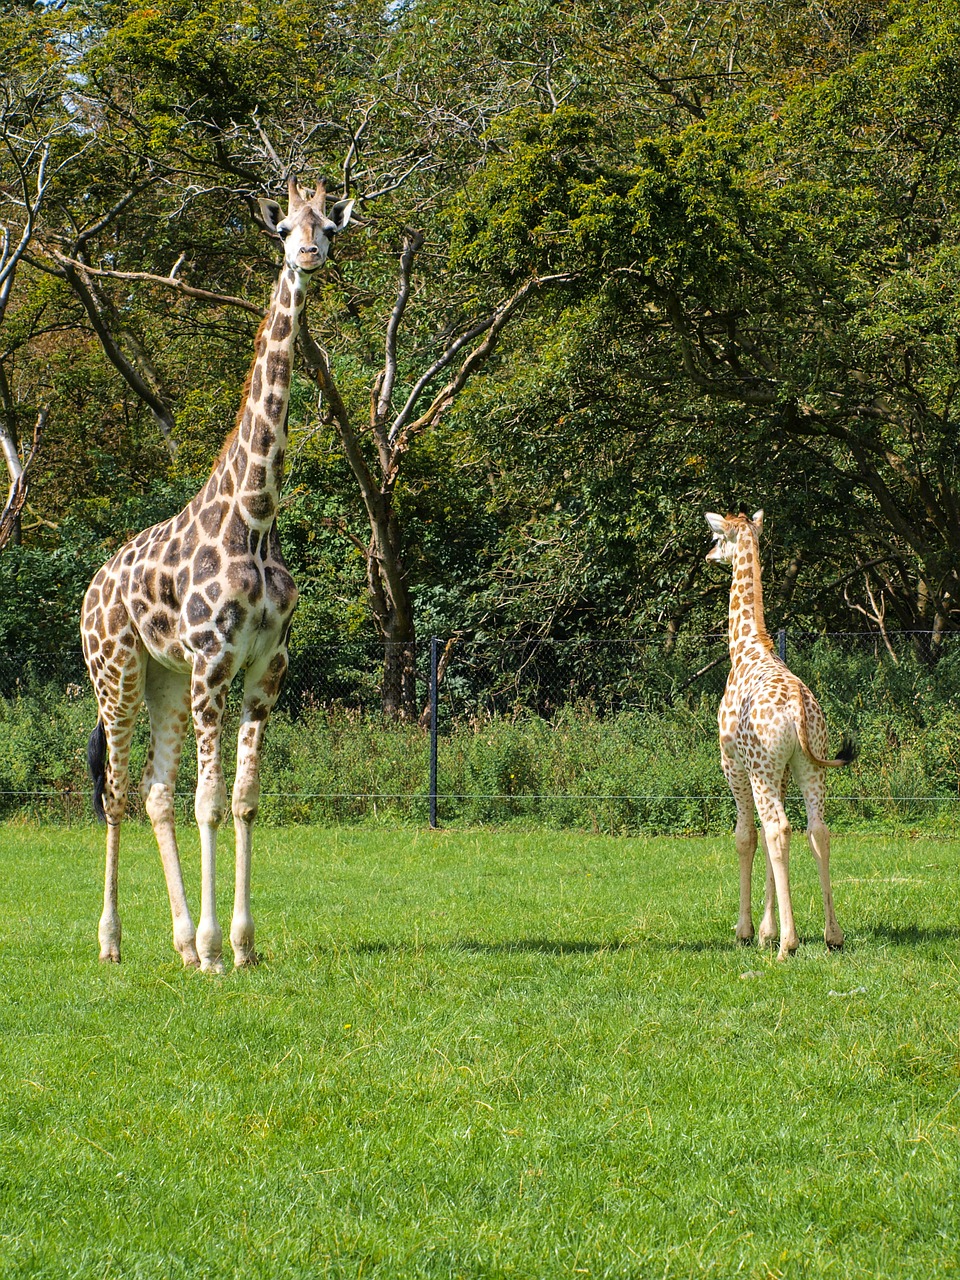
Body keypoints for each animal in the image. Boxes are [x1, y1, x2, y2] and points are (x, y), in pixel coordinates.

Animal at [81, 172, 353, 967]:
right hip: (118, 671)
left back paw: (177, 942)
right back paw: (112, 942)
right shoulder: (213, 661)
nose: (307, 254)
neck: (255, 521)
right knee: (116, 791)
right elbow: (207, 801)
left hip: (164, 678)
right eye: (283, 227)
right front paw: (214, 945)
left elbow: (241, 800)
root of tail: (90, 589)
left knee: (152, 791)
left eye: (329, 224)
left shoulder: (266, 668)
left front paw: (239, 944)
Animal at [706, 509, 855, 962]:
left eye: (717, 537)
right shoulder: (783, 769)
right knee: (816, 830)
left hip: (761, 769)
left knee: (776, 830)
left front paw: (748, 931)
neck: (745, 646)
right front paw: (768, 930)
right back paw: (832, 935)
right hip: (811, 764)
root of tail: (795, 709)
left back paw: (788, 946)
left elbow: (745, 836)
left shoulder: (734, 764)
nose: (708, 556)